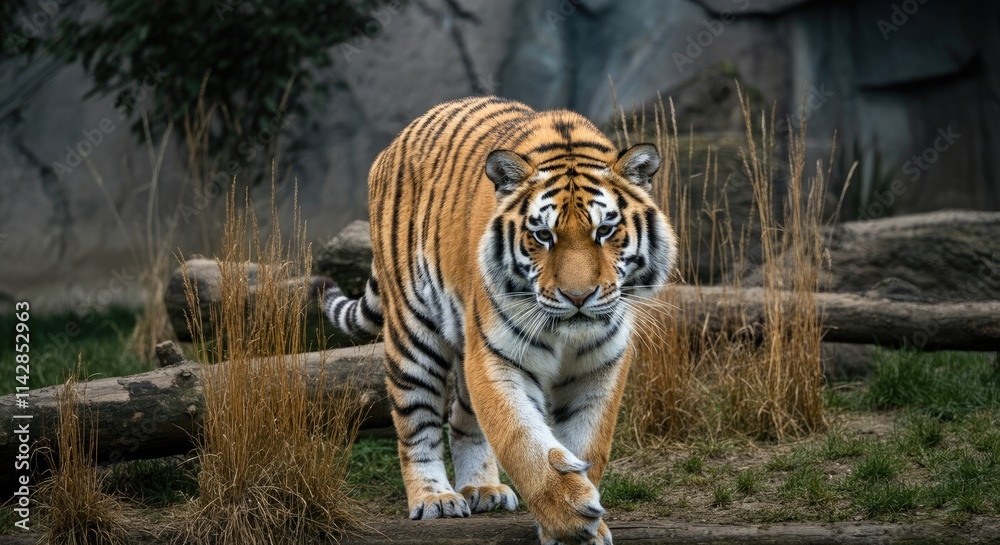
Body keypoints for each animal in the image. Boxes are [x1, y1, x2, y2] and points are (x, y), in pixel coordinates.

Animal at [319, 96, 677, 545]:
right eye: (543, 236)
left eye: (605, 231)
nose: (577, 297)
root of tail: (401, 136)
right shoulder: (497, 357)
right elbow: (522, 438)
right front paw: (568, 515)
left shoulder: (600, 366)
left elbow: (587, 444)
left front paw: (586, 523)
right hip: (413, 336)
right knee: (416, 423)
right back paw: (435, 498)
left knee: (461, 417)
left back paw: (483, 488)